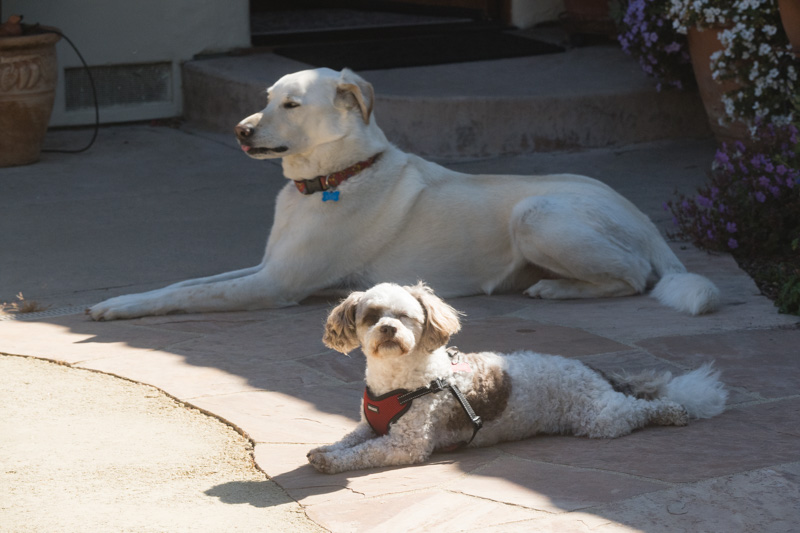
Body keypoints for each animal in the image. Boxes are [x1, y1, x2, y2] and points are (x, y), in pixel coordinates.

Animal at [89, 65, 720, 318]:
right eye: (265, 98)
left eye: (289, 104)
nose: (240, 130)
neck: (333, 179)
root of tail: (646, 219)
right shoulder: (265, 266)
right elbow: (185, 283)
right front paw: (118, 300)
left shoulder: (276, 285)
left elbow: (191, 295)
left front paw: (124, 311)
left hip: (535, 214)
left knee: (635, 276)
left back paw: (557, 290)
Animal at [308, 282, 732, 474]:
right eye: (371, 316)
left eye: (405, 316)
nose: (388, 330)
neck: (398, 383)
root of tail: (592, 370)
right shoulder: (369, 425)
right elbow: (349, 440)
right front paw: (326, 450)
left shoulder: (406, 446)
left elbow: (363, 453)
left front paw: (331, 462)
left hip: (600, 417)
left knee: (639, 409)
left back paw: (670, 411)